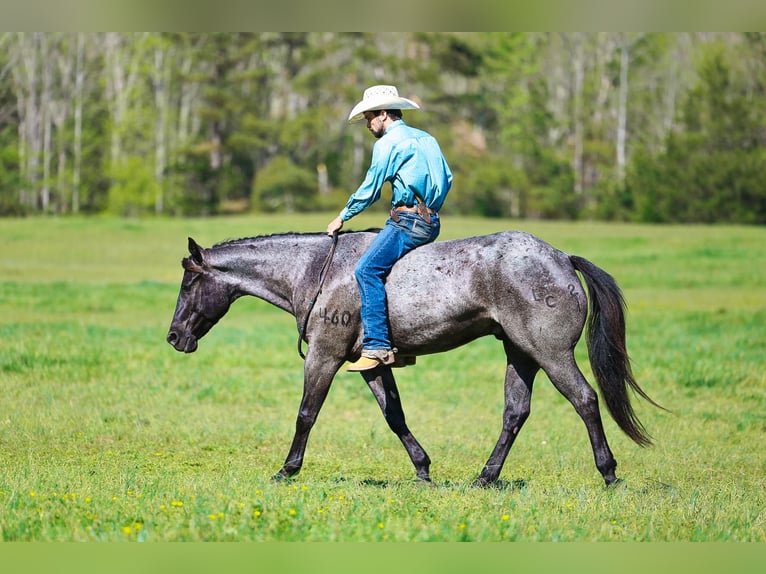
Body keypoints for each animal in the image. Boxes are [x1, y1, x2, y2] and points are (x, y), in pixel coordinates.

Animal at [166, 229, 662, 487]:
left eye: (189, 283)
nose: (174, 337)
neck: (317, 272)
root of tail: (561, 257)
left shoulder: (324, 356)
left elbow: (306, 413)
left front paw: (287, 470)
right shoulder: (368, 365)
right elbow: (395, 416)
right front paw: (423, 469)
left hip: (551, 354)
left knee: (585, 400)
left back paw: (609, 474)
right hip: (520, 354)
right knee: (515, 413)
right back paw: (485, 477)